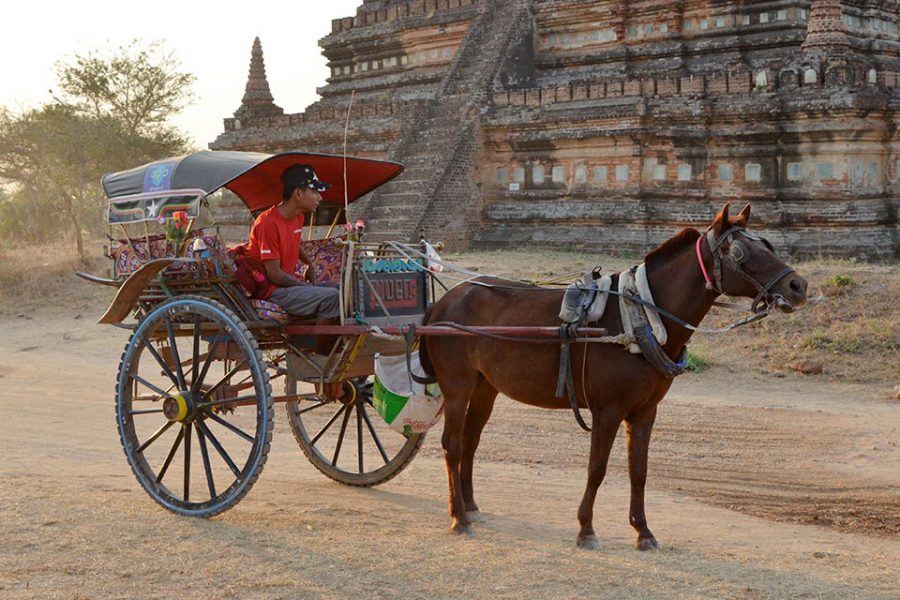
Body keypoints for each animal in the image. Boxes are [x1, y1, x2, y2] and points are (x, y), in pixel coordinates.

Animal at [420, 203, 808, 548]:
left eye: (769, 245)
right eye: (741, 252)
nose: (798, 285)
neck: (641, 316)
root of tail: (444, 302)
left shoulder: (646, 410)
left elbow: (639, 470)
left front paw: (643, 531)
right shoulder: (607, 409)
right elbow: (597, 467)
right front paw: (586, 530)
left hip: (485, 386)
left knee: (471, 441)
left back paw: (470, 505)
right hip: (457, 385)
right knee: (452, 445)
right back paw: (459, 517)